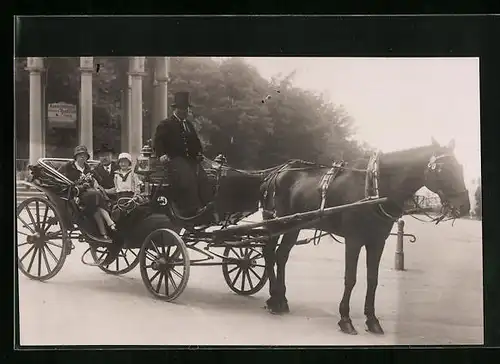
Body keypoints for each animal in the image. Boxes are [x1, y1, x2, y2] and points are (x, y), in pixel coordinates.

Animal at [260, 139, 470, 336]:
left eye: (460, 167)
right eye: (442, 169)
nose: (465, 206)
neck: (373, 189)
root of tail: (278, 172)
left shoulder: (377, 242)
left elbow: (372, 279)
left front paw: (372, 320)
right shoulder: (353, 240)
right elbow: (350, 278)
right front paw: (345, 319)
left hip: (292, 227)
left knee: (281, 255)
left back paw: (281, 299)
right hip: (276, 223)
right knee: (269, 253)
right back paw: (273, 299)